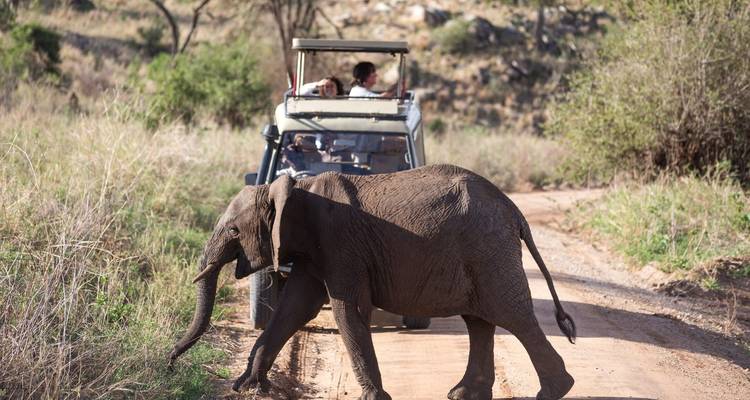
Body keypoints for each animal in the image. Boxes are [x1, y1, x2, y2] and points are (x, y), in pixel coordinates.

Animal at [168, 164, 576, 400]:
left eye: (233, 231)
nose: (171, 360)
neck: (295, 186)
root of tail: (514, 211)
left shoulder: (339, 242)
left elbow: (346, 309)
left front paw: (374, 398)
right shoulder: (314, 251)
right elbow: (294, 308)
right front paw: (248, 386)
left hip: (489, 249)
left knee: (512, 315)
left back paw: (553, 392)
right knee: (480, 321)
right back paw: (462, 394)